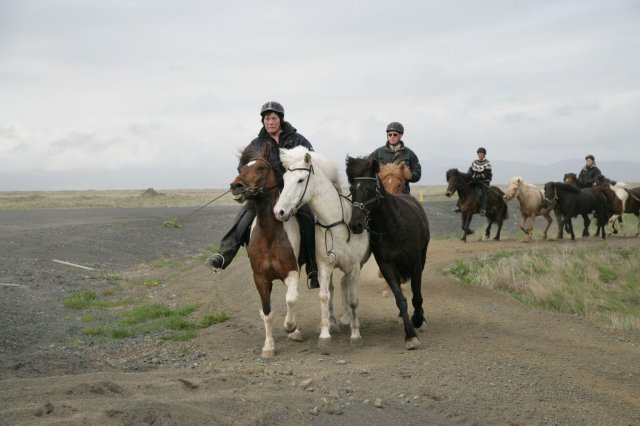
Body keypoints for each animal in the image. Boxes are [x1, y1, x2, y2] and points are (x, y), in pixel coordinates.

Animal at [229, 142, 302, 356]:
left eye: (261, 168)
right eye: (240, 169)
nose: (236, 187)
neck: (270, 234)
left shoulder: (292, 271)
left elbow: (291, 299)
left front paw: (290, 326)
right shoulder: (260, 278)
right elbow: (268, 312)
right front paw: (268, 346)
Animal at [274, 147, 372, 350]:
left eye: (300, 180)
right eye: (284, 180)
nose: (279, 212)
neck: (335, 224)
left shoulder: (355, 268)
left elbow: (353, 301)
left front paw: (355, 335)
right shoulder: (325, 267)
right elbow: (324, 296)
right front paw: (325, 334)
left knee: (345, 285)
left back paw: (346, 319)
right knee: (336, 287)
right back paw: (336, 321)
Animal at [344, 156, 430, 350]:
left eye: (369, 189)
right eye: (352, 190)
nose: (355, 224)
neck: (392, 228)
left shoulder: (415, 263)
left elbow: (417, 296)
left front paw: (418, 319)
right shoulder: (386, 266)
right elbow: (400, 299)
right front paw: (410, 335)